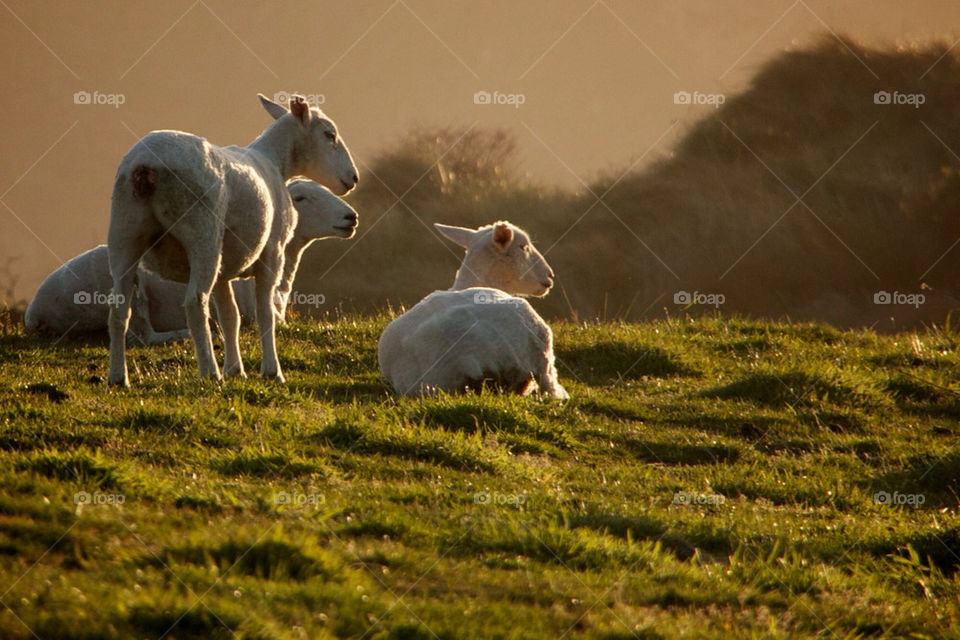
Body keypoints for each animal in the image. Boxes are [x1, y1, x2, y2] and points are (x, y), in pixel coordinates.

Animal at [25, 180, 358, 343]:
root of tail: (35, 311)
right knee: (141, 337)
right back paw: (189, 334)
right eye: (300, 198)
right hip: (128, 288)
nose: (350, 216)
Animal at [106, 94, 358, 386]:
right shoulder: (272, 252)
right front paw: (272, 371)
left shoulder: (224, 268)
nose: (353, 178)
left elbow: (230, 316)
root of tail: (146, 166)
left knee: (119, 308)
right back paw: (210, 372)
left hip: (125, 231)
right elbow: (265, 313)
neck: (274, 162)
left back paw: (118, 377)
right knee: (195, 302)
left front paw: (236, 370)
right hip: (203, 233)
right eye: (329, 135)